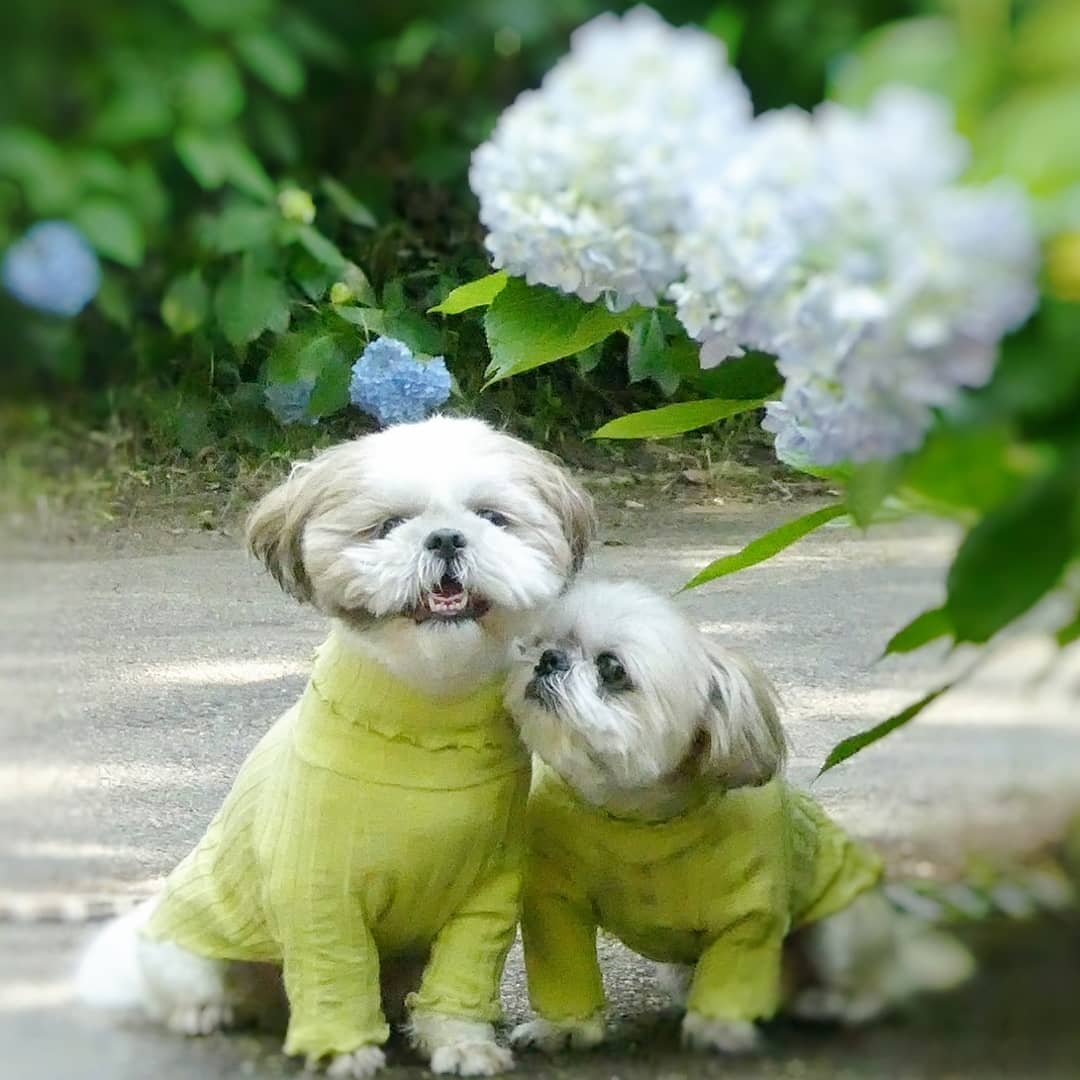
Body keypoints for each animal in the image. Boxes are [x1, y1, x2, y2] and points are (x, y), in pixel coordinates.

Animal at [76, 416, 600, 1075]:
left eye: (492, 517)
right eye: (389, 525)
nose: (446, 538)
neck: (428, 709)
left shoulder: (487, 896)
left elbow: (462, 976)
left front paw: (462, 1042)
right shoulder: (320, 894)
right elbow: (335, 971)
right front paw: (345, 1052)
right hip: (188, 947)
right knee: (191, 986)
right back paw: (206, 1013)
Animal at [503, 583, 972, 1054]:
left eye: (612, 668)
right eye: (542, 641)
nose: (548, 659)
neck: (639, 817)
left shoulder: (749, 916)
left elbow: (731, 976)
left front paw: (717, 1030)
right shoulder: (555, 904)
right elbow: (564, 969)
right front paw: (562, 1029)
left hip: (842, 928)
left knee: (874, 986)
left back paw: (833, 1004)